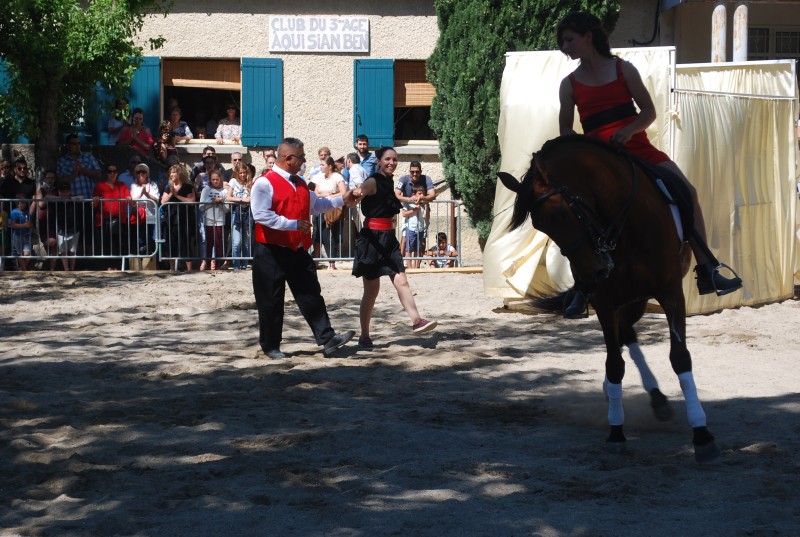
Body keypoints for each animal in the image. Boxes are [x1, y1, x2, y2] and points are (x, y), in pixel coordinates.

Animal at [500, 134, 720, 460]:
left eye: (563, 213)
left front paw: (701, 433)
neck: (625, 224)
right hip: (628, 298)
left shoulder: (670, 293)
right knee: (625, 335)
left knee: (628, 332)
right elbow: (614, 363)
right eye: (541, 227)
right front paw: (616, 430)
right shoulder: (604, 301)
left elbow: (680, 358)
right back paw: (641, 396)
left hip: (639, 298)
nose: (594, 273)